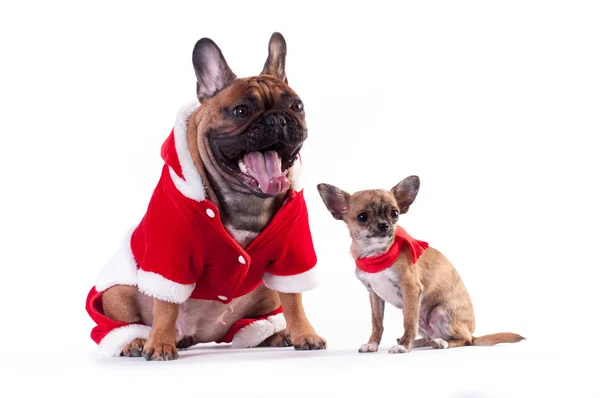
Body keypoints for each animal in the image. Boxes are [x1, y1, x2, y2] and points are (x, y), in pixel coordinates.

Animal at [316, 176, 524, 352]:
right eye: (362, 217)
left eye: (395, 213)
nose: (384, 225)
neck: (377, 256)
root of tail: (473, 332)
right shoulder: (374, 294)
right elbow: (377, 323)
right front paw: (373, 344)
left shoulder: (411, 289)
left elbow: (408, 321)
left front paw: (404, 346)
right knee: (431, 335)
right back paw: (421, 342)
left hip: (440, 312)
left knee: (464, 340)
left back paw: (440, 343)